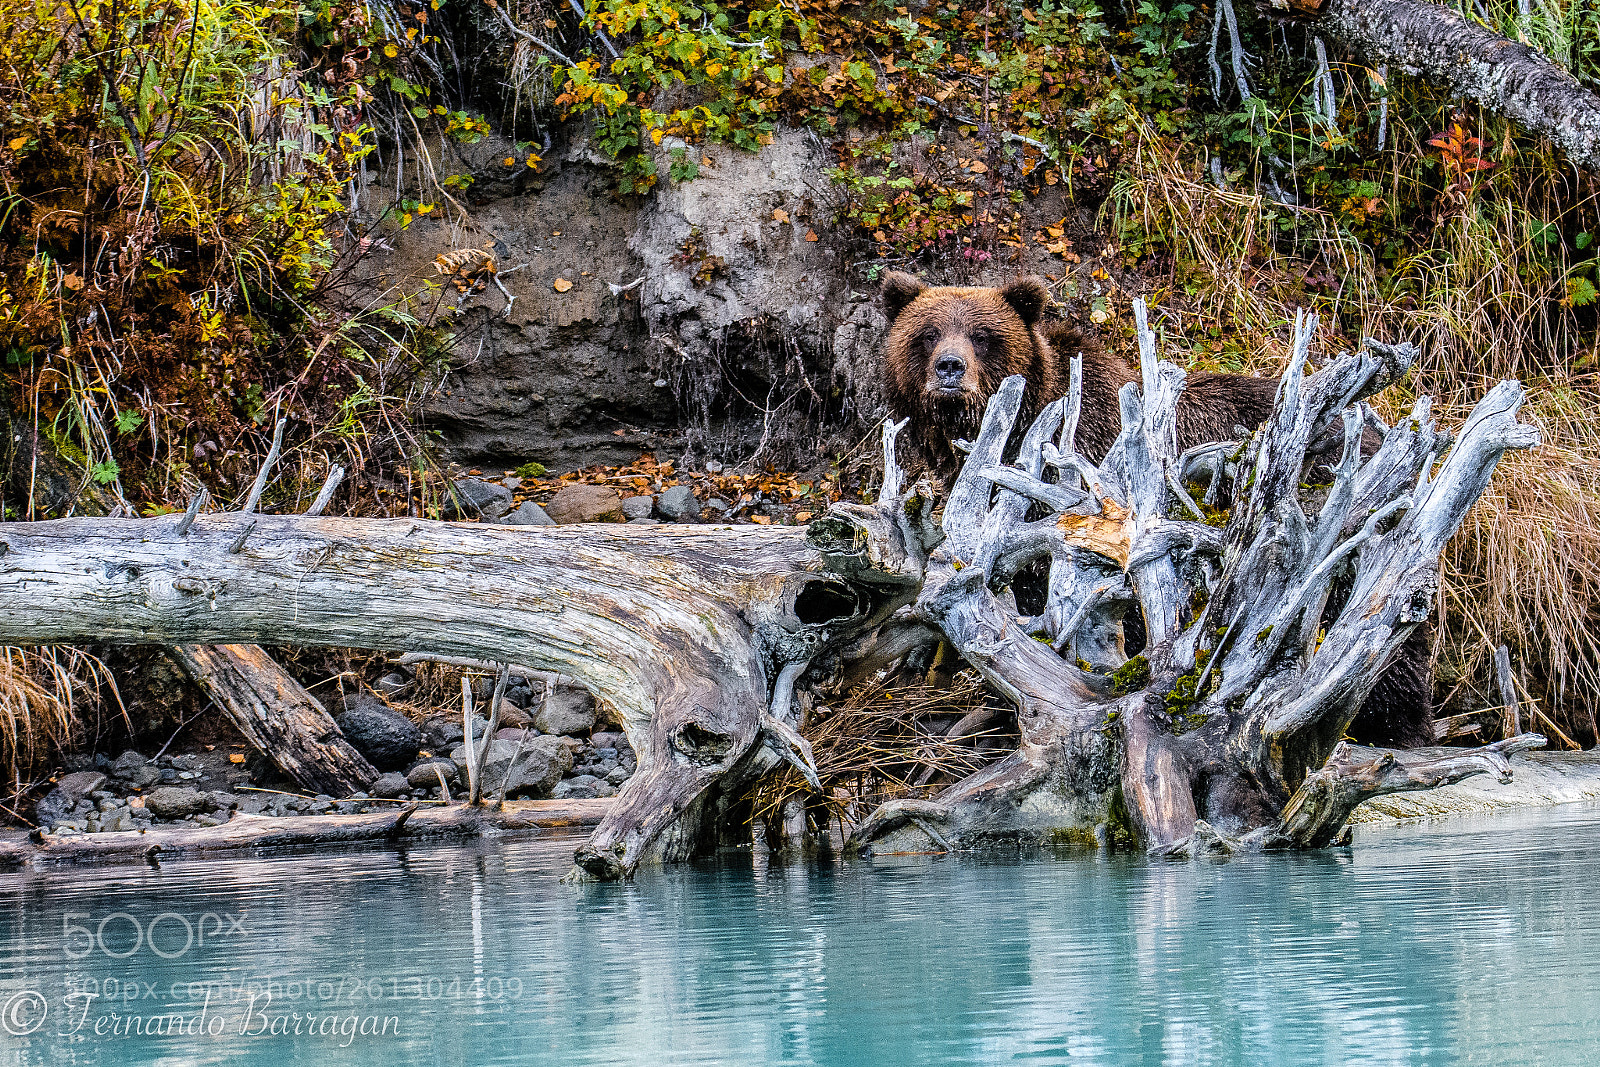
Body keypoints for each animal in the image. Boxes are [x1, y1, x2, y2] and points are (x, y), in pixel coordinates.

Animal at [878, 270, 1436, 749]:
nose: (950, 369)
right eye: (927, 334)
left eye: (982, 335)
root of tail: (1388, 428)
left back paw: (1395, 722)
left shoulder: (1080, 483)